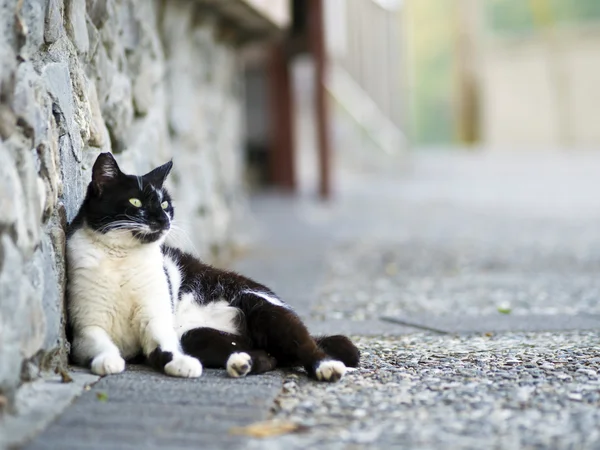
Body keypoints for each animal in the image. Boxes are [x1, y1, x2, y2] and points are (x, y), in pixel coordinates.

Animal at [68, 153, 358, 382]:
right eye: (135, 202)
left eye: (165, 204)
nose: (164, 219)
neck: (121, 258)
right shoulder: (84, 329)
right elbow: (100, 343)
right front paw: (108, 360)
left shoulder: (156, 318)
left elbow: (166, 346)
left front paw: (181, 363)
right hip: (196, 335)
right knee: (267, 356)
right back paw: (241, 363)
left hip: (262, 308)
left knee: (305, 346)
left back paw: (327, 367)